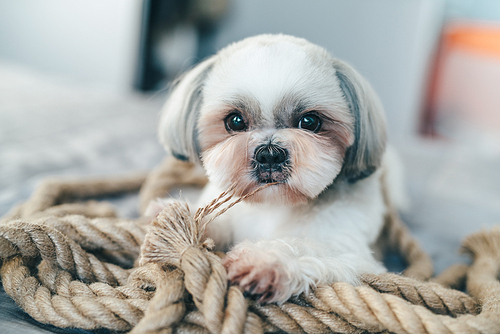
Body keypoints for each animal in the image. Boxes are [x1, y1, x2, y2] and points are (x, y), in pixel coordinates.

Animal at [148, 33, 402, 302]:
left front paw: (263, 260)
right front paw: (173, 219)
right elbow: (213, 222)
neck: (274, 205)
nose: (269, 154)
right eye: (235, 121)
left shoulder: (351, 253)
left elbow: (308, 246)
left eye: (309, 121)